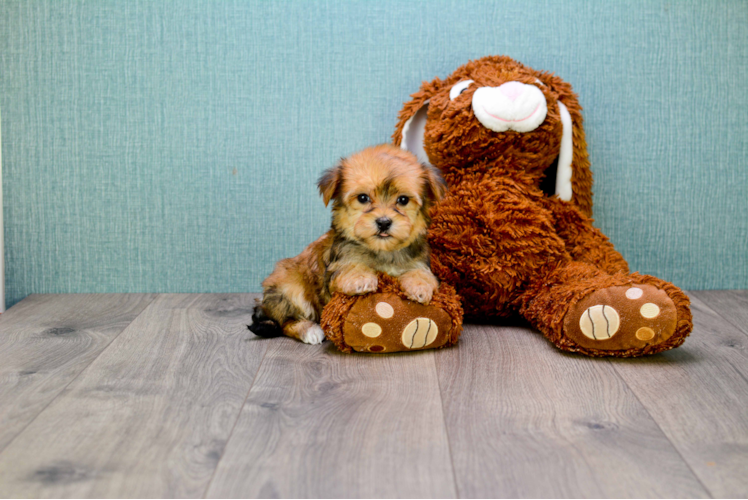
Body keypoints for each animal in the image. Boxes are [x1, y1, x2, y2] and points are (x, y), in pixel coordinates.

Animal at [251, 143, 448, 342]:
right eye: (363, 198)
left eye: (403, 200)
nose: (384, 222)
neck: (382, 251)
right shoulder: (338, 265)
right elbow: (351, 267)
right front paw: (360, 279)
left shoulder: (417, 261)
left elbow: (421, 272)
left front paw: (419, 286)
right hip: (291, 289)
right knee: (285, 321)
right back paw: (309, 330)